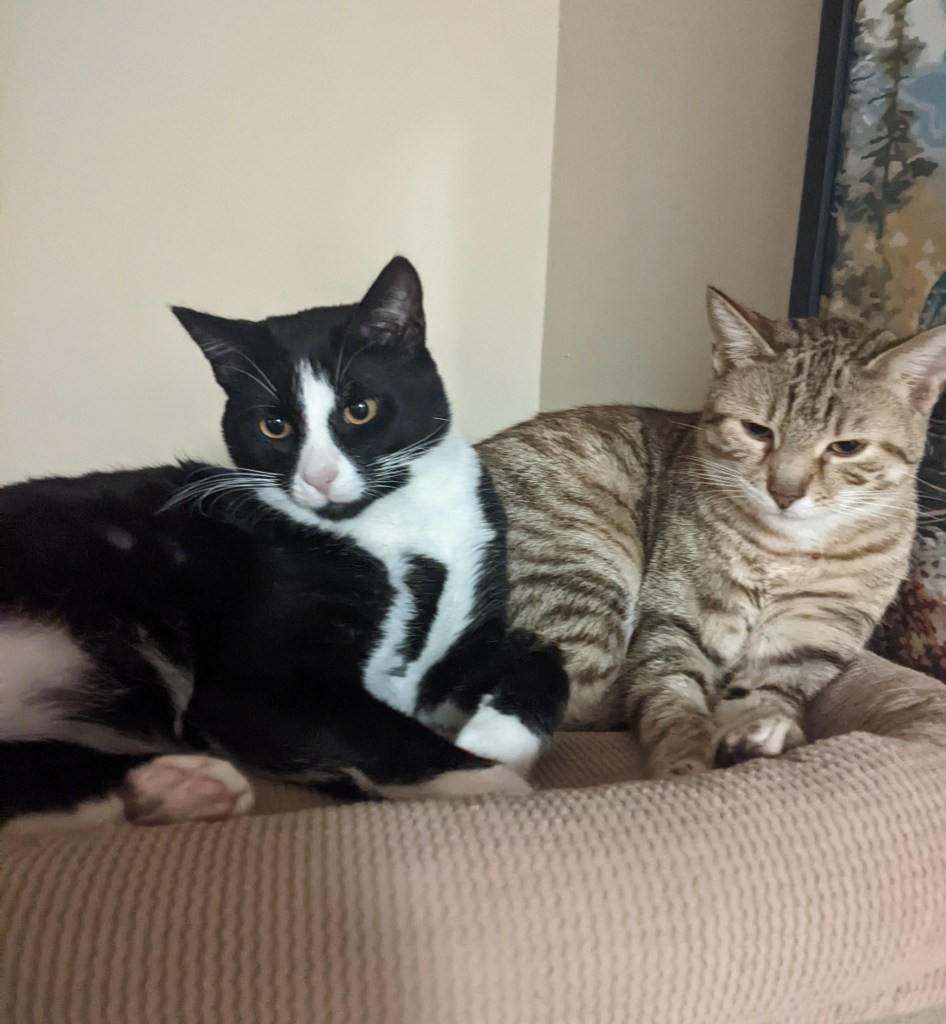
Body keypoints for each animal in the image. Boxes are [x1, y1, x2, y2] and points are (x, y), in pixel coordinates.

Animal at [0, 256, 567, 830]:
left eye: (359, 409)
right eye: (274, 425)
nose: (320, 477)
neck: (393, 522)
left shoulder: (459, 641)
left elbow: (543, 652)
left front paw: (496, 738)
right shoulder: (254, 687)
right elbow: (380, 729)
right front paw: (492, 782)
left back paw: (173, 790)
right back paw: (174, 786)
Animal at [477, 288, 946, 778]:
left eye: (847, 447)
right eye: (757, 430)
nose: (784, 493)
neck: (785, 554)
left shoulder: (809, 636)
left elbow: (762, 697)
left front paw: (753, 737)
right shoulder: (676, 620)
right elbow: (673, 701)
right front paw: (687, 766)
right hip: (585, 577)